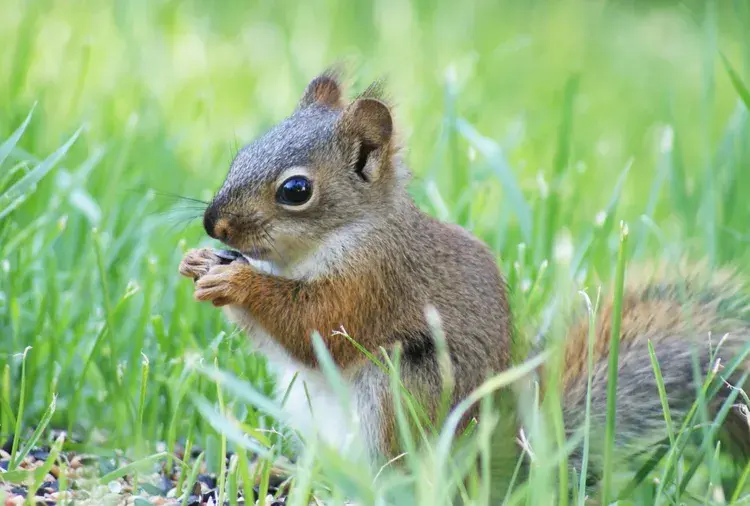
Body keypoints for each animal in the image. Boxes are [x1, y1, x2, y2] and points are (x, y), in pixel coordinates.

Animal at [178, 69, 750, 493]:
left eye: (295, 190)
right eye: (241, 154)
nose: (213, 223)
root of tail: (501, 471)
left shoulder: (373, 282)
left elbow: (312, 325)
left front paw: (237, 285)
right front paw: (198, 263)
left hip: (406, 392)